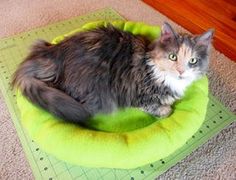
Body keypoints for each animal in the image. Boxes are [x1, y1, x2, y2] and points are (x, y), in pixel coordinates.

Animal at [11, 22, 214, 124]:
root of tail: (53, 52)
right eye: (173, 56)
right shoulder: (135, 94)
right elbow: (161, 107)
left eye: (193, 61)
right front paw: (165, 109)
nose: (181, 71)